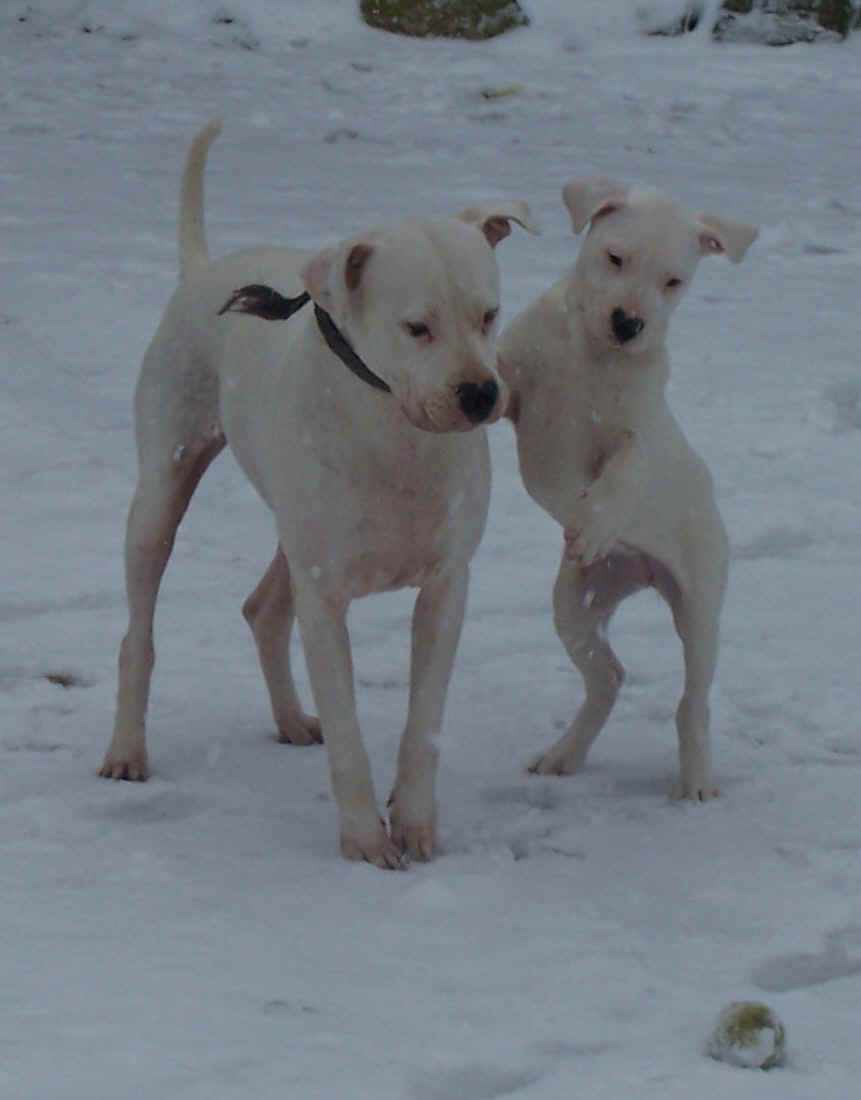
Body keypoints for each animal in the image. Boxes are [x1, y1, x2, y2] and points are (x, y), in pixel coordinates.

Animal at [101, 116, 538, 862]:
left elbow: (424, 722)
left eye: (489, 314)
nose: (481, 394)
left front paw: (415, 823)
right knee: (140, 633)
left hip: (295, 526)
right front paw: (364, 839)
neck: (392, 429)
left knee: (263, 609)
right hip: (163, 489)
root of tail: (202, 268)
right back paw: (128, 751)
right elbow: (349, 731)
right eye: (416, 327)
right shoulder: (326, 597)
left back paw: (289, 718)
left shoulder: (446, 585)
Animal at [499, 180, 756, 800]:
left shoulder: (637, 427)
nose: (629, 323)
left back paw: (697, 781)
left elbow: (628, 467)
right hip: (575, 605)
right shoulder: (516, 383)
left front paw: (595, 521)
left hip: (700, 608)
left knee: (693, 703)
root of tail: (643, 571)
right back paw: (563, 755)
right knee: (608, 677)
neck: (591, 356)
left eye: (673, 281)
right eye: (615, 258)